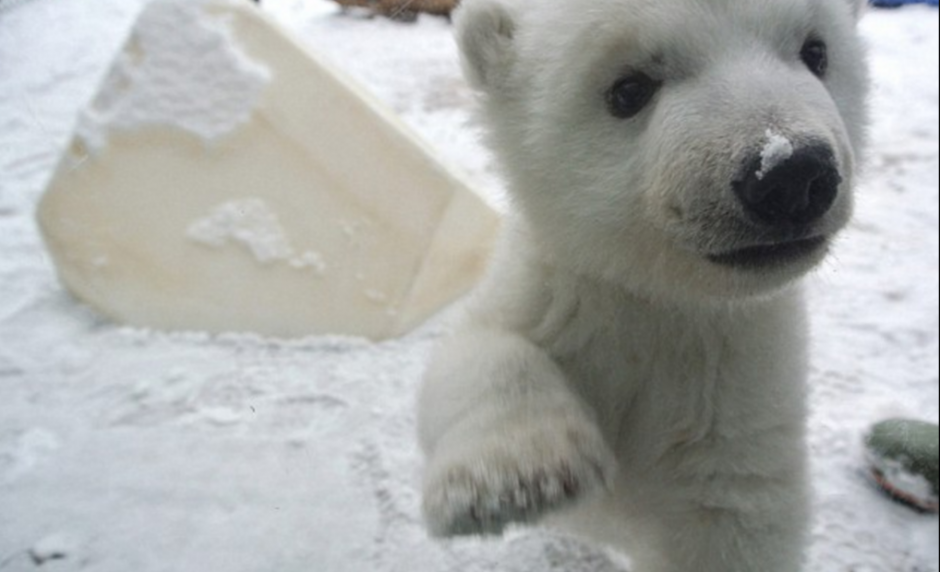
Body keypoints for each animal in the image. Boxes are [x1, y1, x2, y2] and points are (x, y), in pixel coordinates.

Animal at [418, 0, 869, 570]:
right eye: (629, 89)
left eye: (816, 51)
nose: (791, 174)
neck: (661, 293)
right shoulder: (560, 291)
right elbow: (477, 348)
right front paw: (518, 481)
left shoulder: (738, 387)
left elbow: (729, 518)